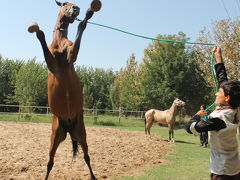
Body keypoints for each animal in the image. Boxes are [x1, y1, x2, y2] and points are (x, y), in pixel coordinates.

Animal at [30, 0, 100, 179]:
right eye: (64, 4)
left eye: (74, 4)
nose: (76, 9)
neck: (59, 44)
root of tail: (68, 127)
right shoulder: (51, 62)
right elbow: (41, 36)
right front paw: (36, 30)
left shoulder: (71, 55)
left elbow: (82, 26)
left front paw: (88, 14)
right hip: (54, 138)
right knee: (50, 162)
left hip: (81, 135)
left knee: (87, 157)